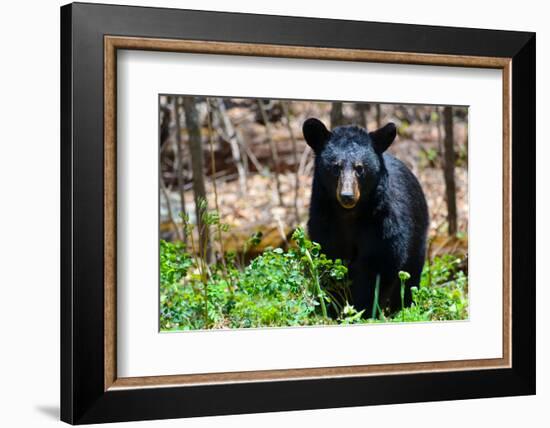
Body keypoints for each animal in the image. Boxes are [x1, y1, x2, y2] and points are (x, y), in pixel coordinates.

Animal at [302, 117, 432, 314]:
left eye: (360, 168)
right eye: (335, 167)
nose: (347, 196)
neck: (349, 215)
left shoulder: (383, 224)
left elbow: (378, 266)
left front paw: (364, 309)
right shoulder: (323, 221)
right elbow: (330, 261)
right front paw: (335, 309)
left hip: (418, 233)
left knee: (411, 273)